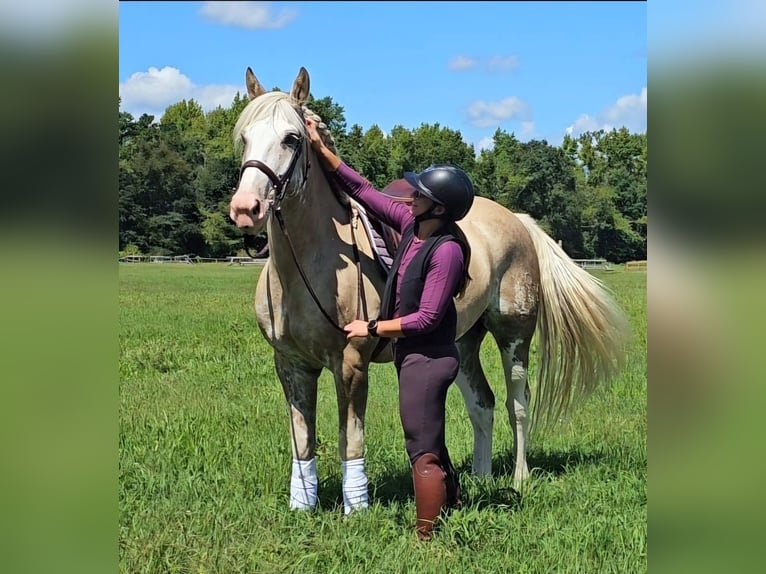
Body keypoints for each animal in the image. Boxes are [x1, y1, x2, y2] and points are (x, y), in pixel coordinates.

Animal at [228, 66, 631, 512]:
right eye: (244, 136)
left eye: (292, 138)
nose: (246, 209)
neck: (307, 269)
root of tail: (517, 220)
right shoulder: (291, 365)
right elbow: (303, 441)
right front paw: (303, 506)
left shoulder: (351, 364)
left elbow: (351, 439)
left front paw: (356, 509)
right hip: (461, 341)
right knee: (483, 403)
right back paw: (481, 477)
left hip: (514, 336)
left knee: (518, 403)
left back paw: (520, 476)